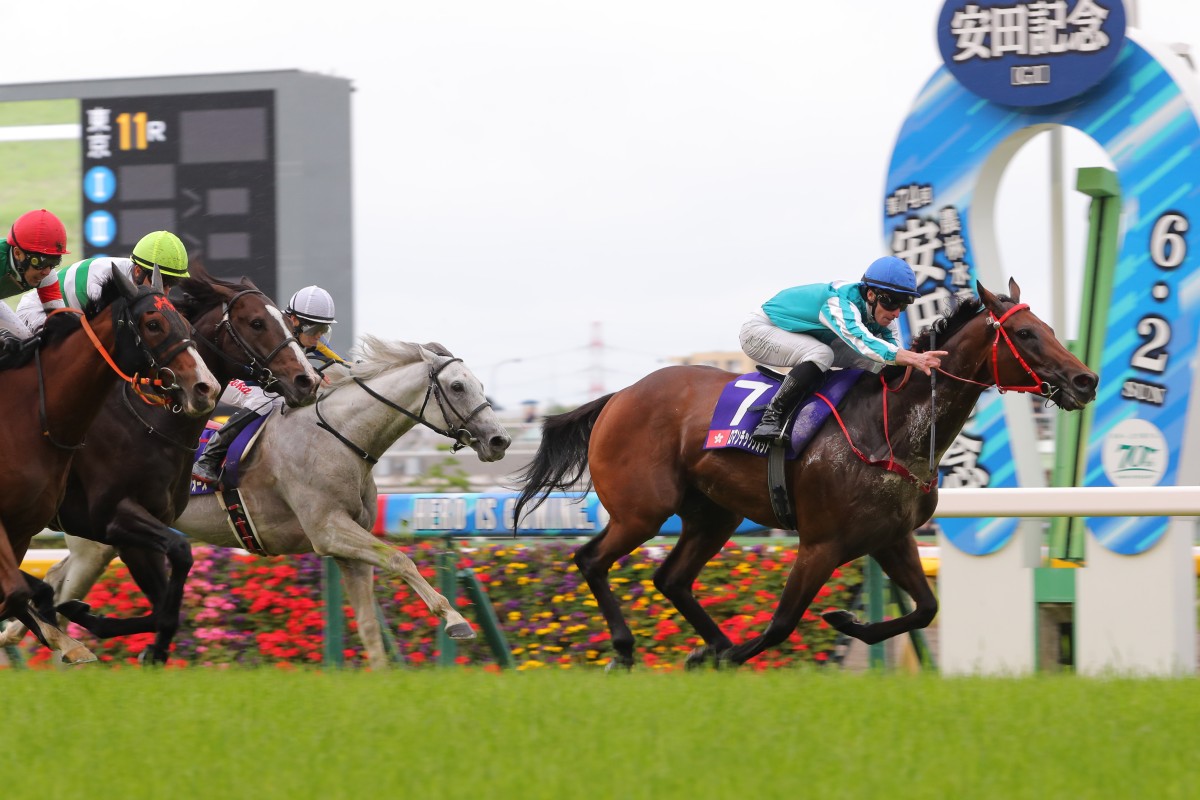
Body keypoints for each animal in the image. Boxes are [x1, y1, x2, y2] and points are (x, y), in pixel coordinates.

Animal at [0, 266, 218, 662]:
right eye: (152, 324)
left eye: (187, 326)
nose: (205, 387)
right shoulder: (115, 517)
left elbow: (173, 576)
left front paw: (152, 648)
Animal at [14, 338, 511, 671]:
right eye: (457, 386)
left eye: (479, 384)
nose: (499, 440)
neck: (340, 435)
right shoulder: (328, 530)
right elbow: (401, 558)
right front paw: (455, 619)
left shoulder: (346, 548)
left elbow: (370, 622)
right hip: (100, 540)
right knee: (51, 588)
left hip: (101, 544)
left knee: (54, 585)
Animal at [31, 267, 324, 662]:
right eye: (256, 322)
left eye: (288, 324)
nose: (307, 380)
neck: (148, 420)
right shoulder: (114, 516)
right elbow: (182, 556)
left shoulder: (140, 531)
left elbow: (165, 598)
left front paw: (142, 643)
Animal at [513, 280, 1099, 671]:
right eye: (1025, 333)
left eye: (1050, 329)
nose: (1085, 380)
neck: (889, 429)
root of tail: (619, 396)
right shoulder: (822, 543)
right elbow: (780, 624)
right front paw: (733, 656)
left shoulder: (891, 537)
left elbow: (926, 609)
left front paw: (844, 621)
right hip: (642, 510)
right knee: (592, 560)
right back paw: (628, 649)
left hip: (713, 515)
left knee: (671, 578)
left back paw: (711, 643)